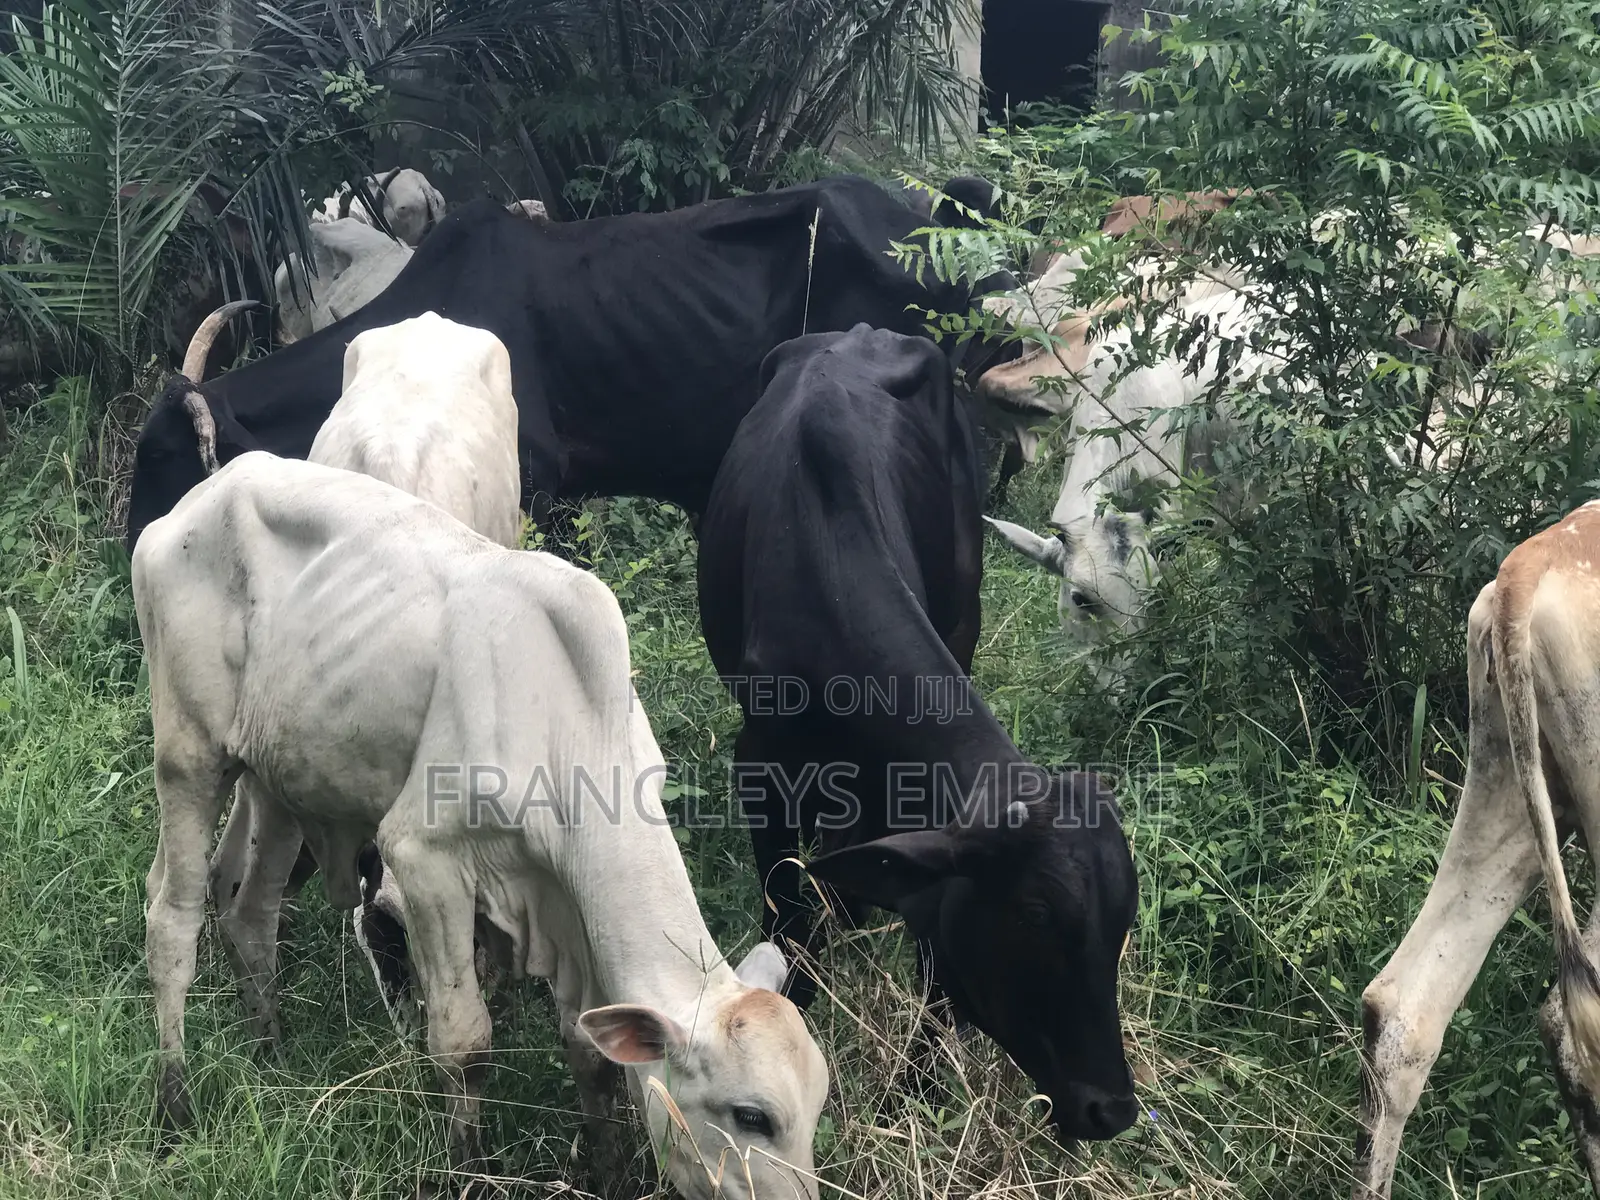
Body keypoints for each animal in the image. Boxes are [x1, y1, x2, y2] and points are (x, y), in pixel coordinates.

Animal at [134, 451, 829, 1198]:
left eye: (816, 1107)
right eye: (752, 1115)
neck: (569, 717)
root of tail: (201, 495)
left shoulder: (565, 898)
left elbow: (590, 1051)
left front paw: (607, 1172)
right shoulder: (423, 858)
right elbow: (462, 1041)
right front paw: (470, 1172)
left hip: (276, 778)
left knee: (248, 903)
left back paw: (272, 1049)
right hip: (188, 754)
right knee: (171, 917)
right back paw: (174, 1109)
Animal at [696, 324, 1140, 1144]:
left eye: (1122, 922)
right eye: (1032, 917)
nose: (1113, 1108)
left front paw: (918, 1086)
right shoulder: (759, 765)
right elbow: (788, 914)